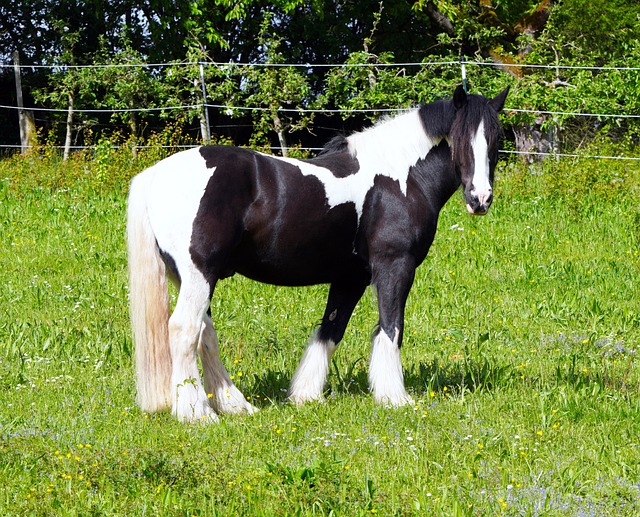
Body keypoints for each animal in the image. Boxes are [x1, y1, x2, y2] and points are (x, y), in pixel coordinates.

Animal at [127, 84, 508, 422]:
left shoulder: (350, 277)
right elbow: (390, 328)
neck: (398, 178)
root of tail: (156, 174)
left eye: (496, 141)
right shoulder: (394, 267)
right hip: (199, 273)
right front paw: (395, 398)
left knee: (205, 333)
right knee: (184, 329)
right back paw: (196, 413)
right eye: (459, 140)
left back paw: (235, 405)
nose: (480, 199)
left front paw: (305, 395)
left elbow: (330, 330)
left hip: (190, 277)